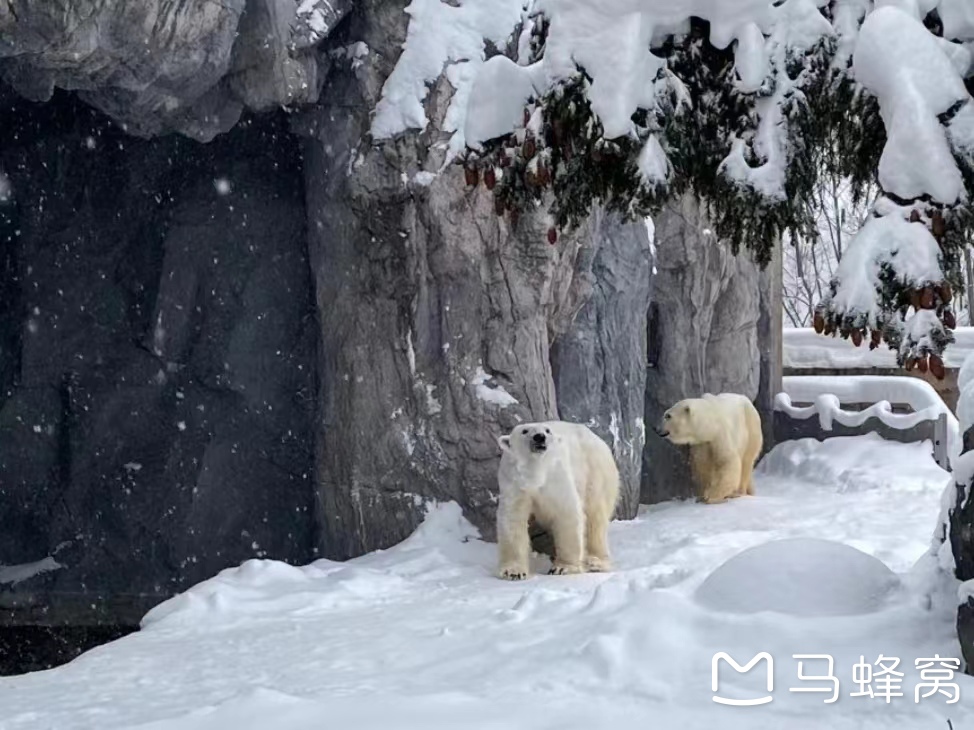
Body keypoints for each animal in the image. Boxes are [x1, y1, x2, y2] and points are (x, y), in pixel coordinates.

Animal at [496, 420, 616, 580]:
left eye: (547, 431)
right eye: (524, 431)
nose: (539, 437)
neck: (536, 471)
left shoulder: (556, 477)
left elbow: (567, 513)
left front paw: (563, 568)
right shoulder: (514, 482)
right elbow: (512, 519)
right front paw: (513, 572)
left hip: (595, 471)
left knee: (595, 518)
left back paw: (596, 563)